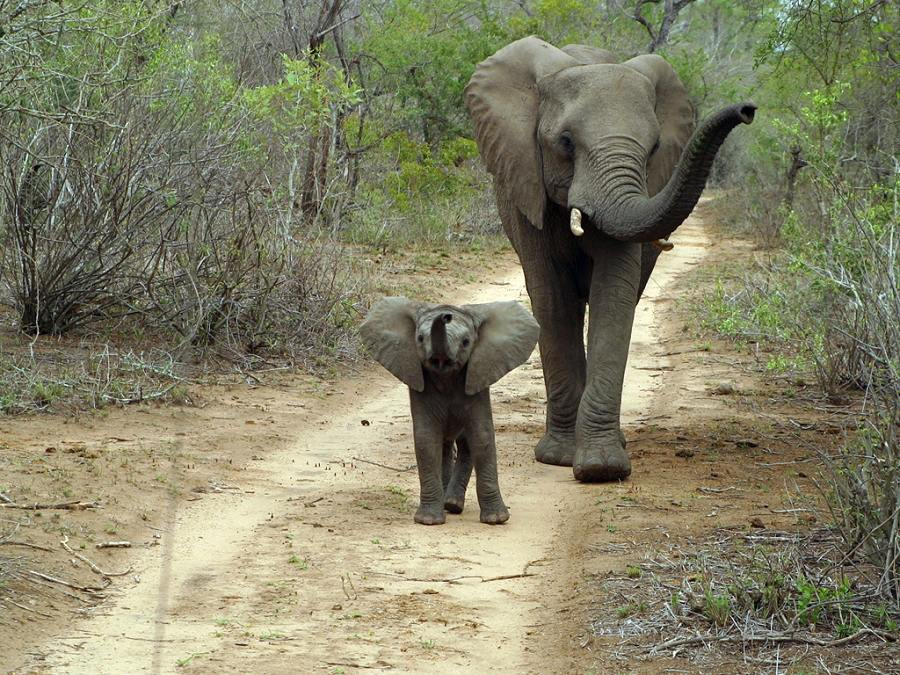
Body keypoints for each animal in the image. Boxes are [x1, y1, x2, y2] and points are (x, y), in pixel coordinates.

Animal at [360, 297, 539, 525]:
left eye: (466, 342)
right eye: (419, 338)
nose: (446, 314)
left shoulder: (478, 376)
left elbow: (482, 436)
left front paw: (496, 520)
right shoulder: (420, 380)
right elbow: (426, 439)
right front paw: (428, 521)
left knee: (465, 444)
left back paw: (453, 504)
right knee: (445, 445)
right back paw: (447, 504)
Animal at [465, 37, 755, 482]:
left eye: (654, 148)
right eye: (566, 142)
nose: (747, 110)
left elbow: (613, 294)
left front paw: (601, 467)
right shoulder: (526, 183)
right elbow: (552, 297)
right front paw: (560, 458)